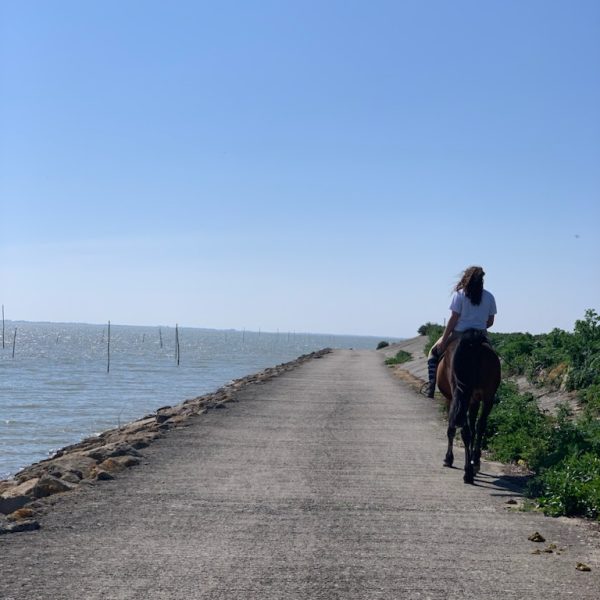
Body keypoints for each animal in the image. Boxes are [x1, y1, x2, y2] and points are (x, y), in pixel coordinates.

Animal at [436, 330, 502, 486]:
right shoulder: (474, 400)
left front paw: (449, 458)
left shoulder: (451, 399)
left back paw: (468, 473)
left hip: (460, 396)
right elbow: (474, 427)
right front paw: (473, 459)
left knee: (464, 430)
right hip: (487, 397)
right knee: (480, 426)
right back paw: (474, 463)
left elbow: (451, 428)